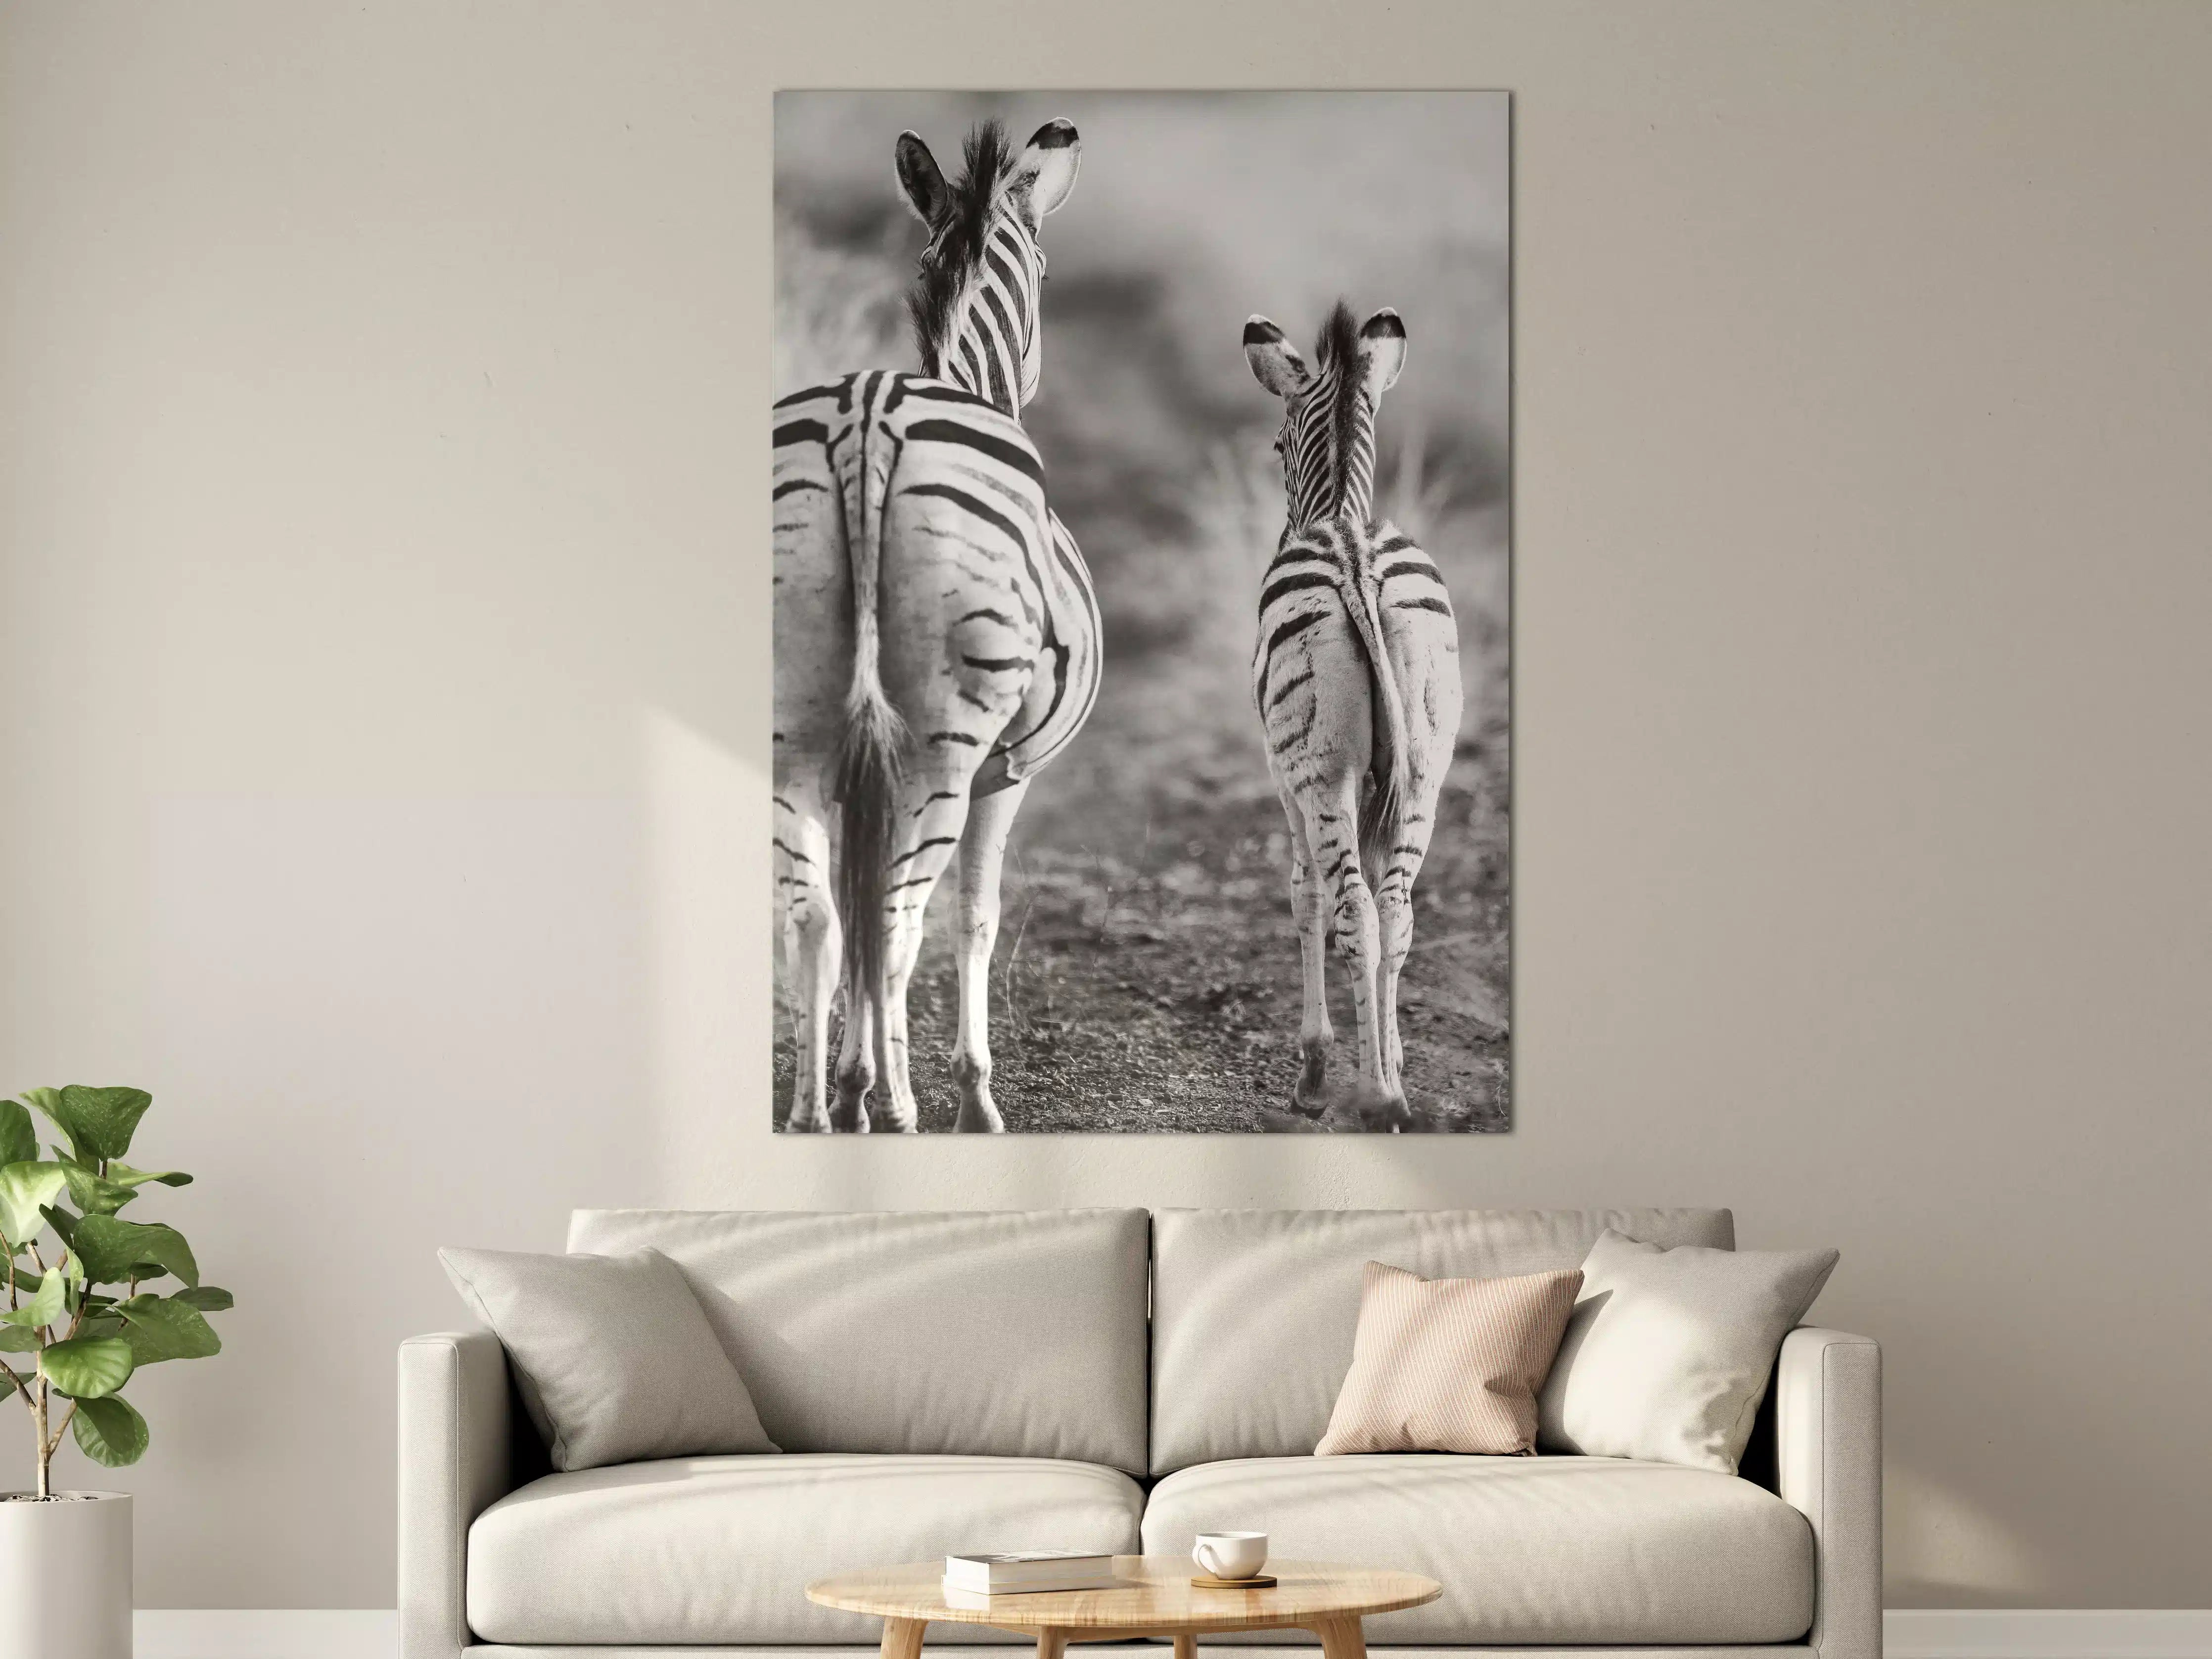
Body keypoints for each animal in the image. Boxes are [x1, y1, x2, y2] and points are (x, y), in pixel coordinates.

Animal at [773, 119, 1098, 1133]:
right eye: (1045, 268)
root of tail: (869, 414)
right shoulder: (1010, 771)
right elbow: (974, 918)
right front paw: (970, 1093)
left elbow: (848, 905)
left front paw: (855, 1077)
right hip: (944, 747)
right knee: (900, 917)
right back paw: (893, 1103)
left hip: (795, 723)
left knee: (818, 914)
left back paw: (816, 1110)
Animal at [1242, 302, 1462, 1131]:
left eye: (1277, 446)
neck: (1339, 511)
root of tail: (1356, 561)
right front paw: (1390, 1052)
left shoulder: (1286, 777)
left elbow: (1303, 893)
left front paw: (1313, 1067)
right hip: (1426, 768)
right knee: (1395, 911)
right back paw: (1389, 1089)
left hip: (1323, 773)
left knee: (1355, 909)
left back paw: (1370, 1097)